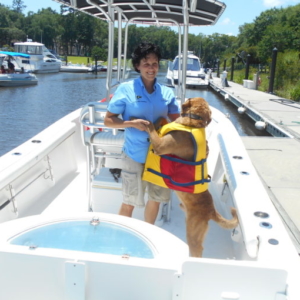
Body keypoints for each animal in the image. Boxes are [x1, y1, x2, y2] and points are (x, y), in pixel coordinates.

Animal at [144, 97, 238, 256]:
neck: (194, 120)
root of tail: (212, 210)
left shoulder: (161, 146)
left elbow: (151, 127)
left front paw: (148, 122)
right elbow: (164, 119)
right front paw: (160, 120)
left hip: (193, 233)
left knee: (197, 249)